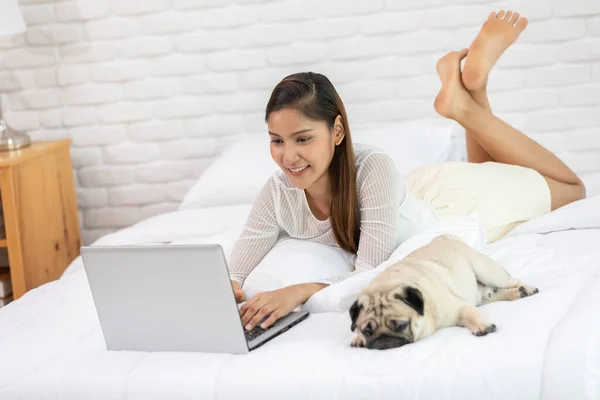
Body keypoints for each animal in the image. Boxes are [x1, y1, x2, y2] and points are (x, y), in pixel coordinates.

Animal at [346, 234, 540, 350]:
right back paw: (516, 293)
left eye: (401, 326)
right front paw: (358, 340)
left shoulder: (460, 307)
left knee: (512, 281)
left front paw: (481, 326)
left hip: (488, 272)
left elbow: (470, 314)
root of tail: (445, 238)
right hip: (482, 294)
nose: (383, 339)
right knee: (495, 294)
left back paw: (526, 289)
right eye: (367, 331)